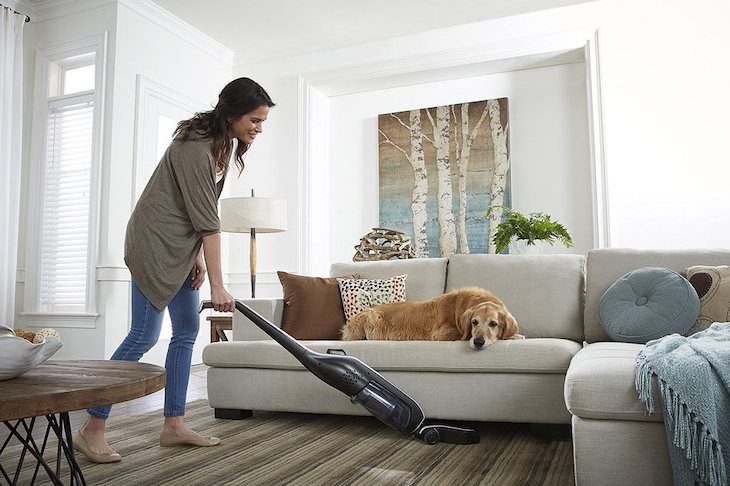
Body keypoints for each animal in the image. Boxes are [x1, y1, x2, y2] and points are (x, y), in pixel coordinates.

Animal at [342, 284, 524, 350]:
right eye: (474, 322)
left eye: (493, 323)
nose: (478, 342)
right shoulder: (440, 334)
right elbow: (461, 335)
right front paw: (515, 336)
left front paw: (515, 335)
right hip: (370, 316)